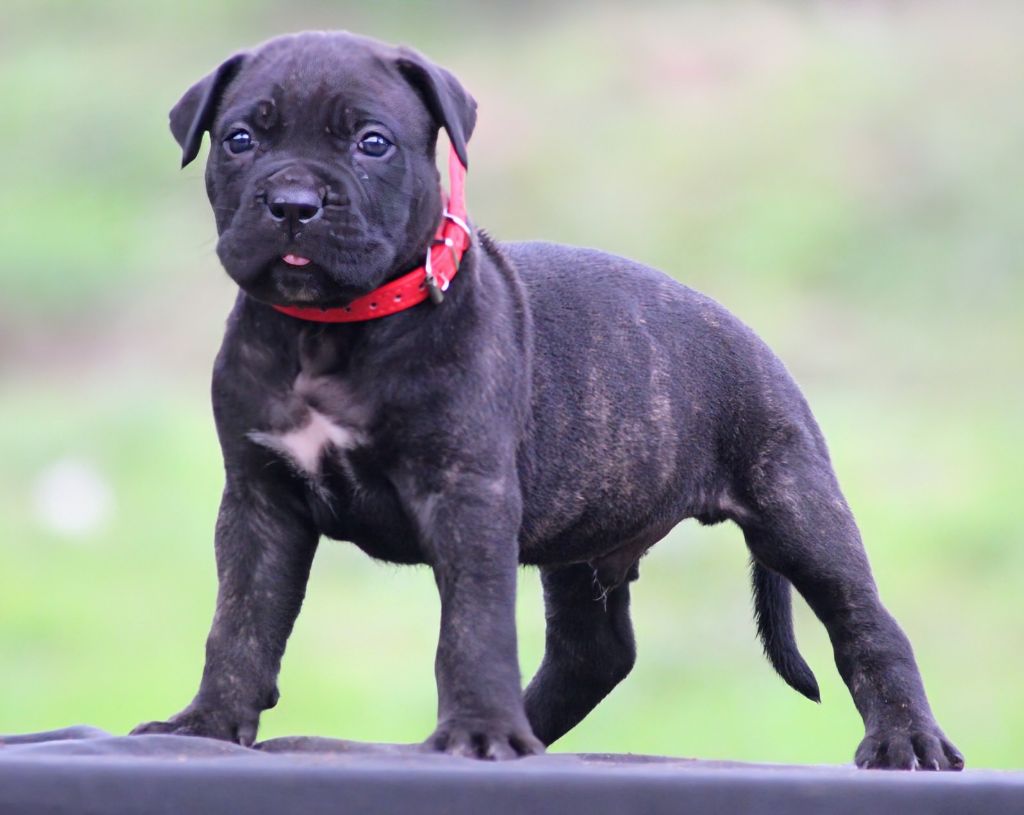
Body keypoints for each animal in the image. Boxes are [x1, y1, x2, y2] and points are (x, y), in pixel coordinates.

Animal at [132, 31, 962, 769]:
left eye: (372, 143)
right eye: (240, 139)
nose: (293, 202)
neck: (331, 329)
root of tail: (750, 334)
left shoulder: (467, 493)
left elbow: (472, 625)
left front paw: (479, 731)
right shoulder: (260, 501)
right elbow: (241, 620)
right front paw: (206, 722)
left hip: (795, 502)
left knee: (865, 620)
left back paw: (907, 740)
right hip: (585, 537)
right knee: (596, 652)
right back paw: (517, 727)